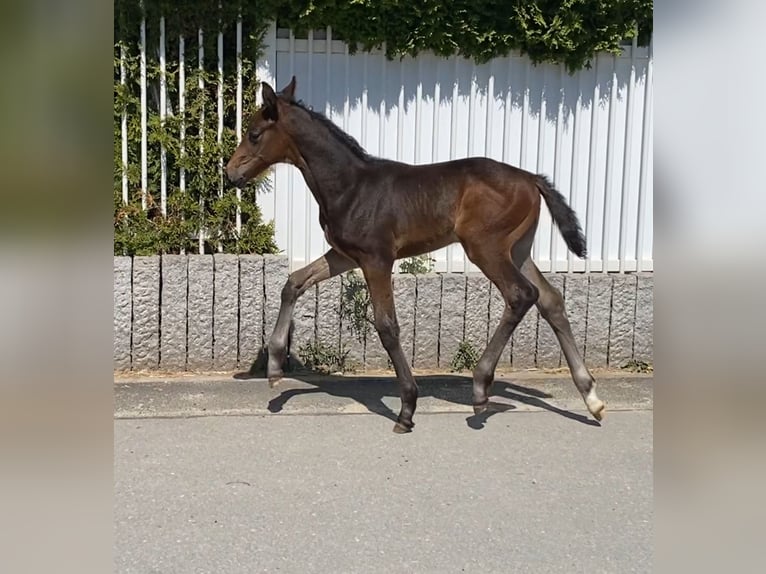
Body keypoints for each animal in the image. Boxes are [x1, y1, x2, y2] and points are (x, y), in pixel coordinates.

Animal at [225, 77, 605, 433]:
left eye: (254, 134)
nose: (230, 173)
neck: (350, 186)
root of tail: (531, 178)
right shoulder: (345, 255)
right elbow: (293, 282)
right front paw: (275, 366)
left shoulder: (376, 259)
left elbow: (387, 325)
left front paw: (407, 408)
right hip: (519, 249)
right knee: (551, 300)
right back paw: (591, 396)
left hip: (485, 247)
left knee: (521, 295)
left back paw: (481, 388)